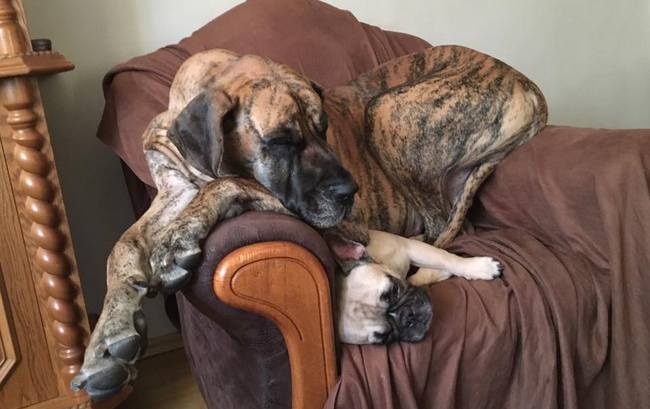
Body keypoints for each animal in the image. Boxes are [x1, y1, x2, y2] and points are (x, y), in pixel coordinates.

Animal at [72, 45, 547, 399]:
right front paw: (106, 343)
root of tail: (526, 82)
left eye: (325, 128)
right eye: (282, 141)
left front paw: (179, 242)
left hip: (386, 110)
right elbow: (122, 247)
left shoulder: (344, 222)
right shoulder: (172, 194)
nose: (349, 192)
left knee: (439, 224)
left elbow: (228, 184)